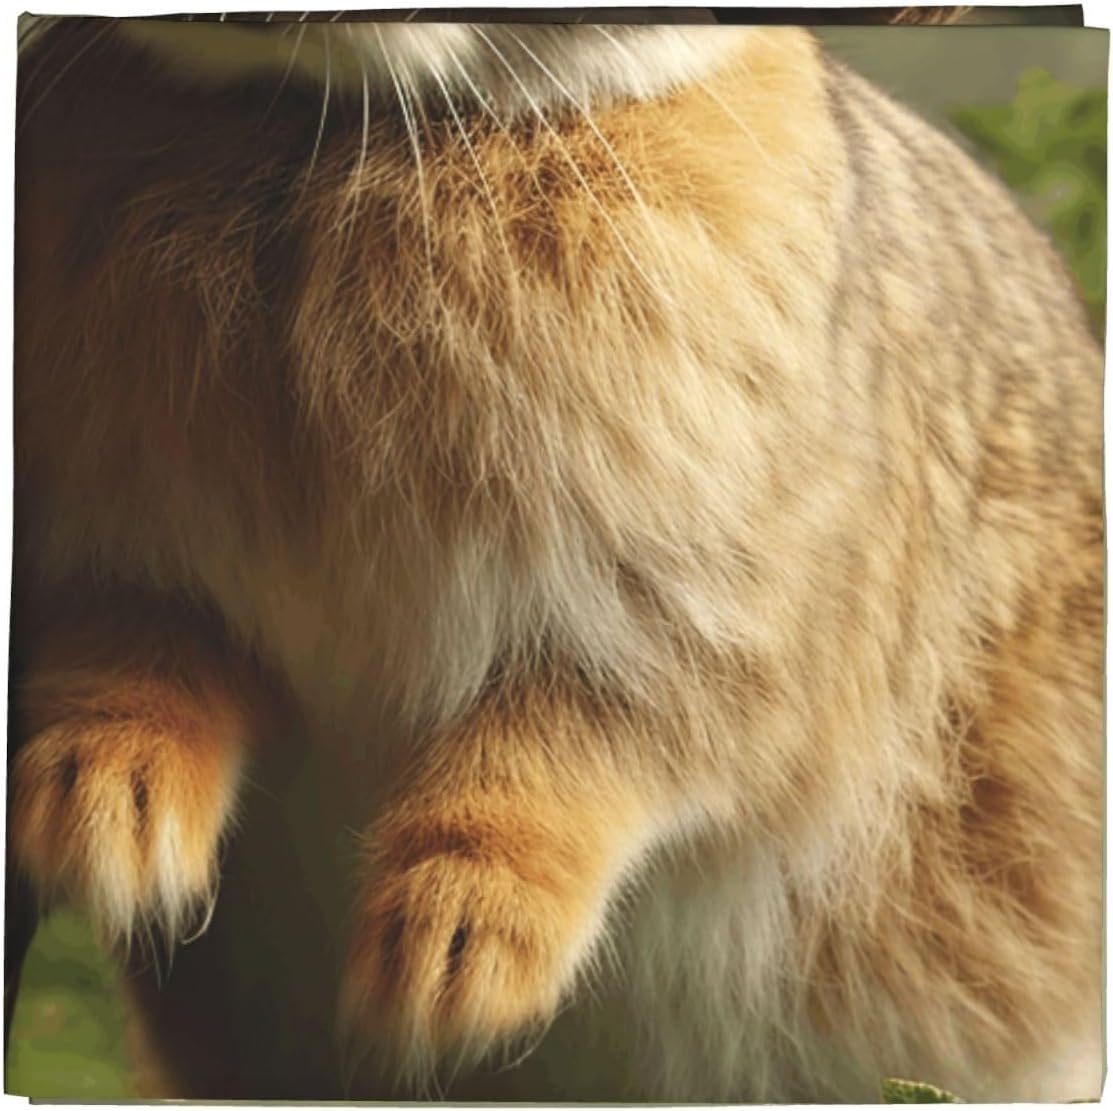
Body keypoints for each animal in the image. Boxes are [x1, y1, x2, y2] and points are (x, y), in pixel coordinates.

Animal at [10, 11, 1103, 1102]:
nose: (83, 837)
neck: (338, 128)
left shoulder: (703, 623)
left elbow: (555, 757)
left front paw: (449, 971)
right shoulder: (120, 565)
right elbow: (134, 672)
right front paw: (98, 830)